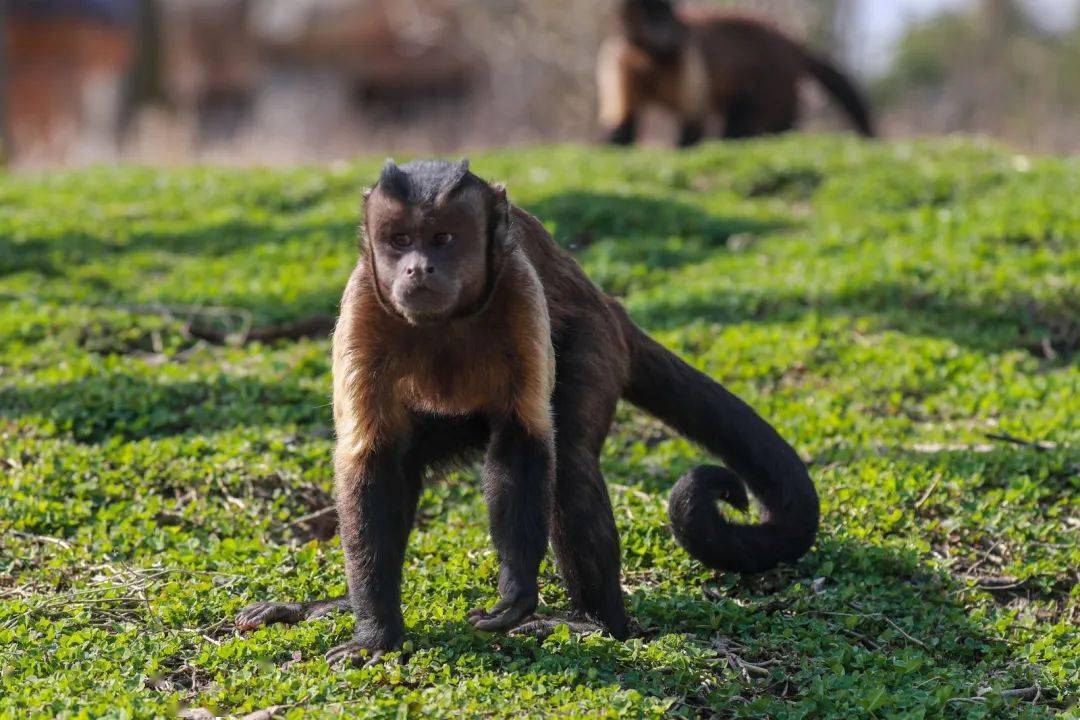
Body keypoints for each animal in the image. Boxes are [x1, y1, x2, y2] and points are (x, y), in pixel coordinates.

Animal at [232, 160, 812, 669]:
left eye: (443, 239)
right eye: (398, 241)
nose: (417, 266)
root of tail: (613, 307)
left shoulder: (517, 289)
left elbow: (522, 441)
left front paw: (515, 589)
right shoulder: (363, 306)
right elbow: (371, 462)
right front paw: (375, 633)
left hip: (596, 343)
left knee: (569, 461)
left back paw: (594, 622)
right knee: (405, 460)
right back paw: (337, 607)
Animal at [600, 0, 876, 144]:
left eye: (668, 10)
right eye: (652, 13)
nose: (673, 30)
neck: (651, 59)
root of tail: (793, 46)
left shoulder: (689, 58)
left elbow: (694, 123)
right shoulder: (619, 62)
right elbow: (622, 126)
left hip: (774, 83)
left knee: (753, 123)